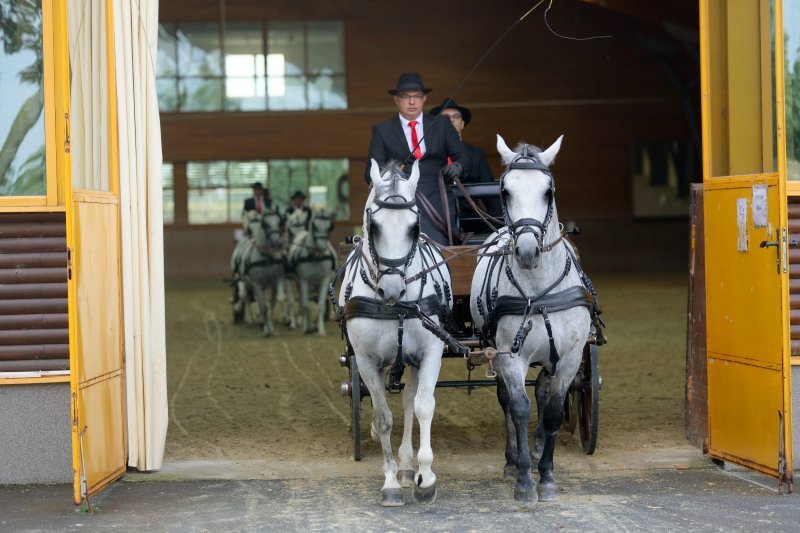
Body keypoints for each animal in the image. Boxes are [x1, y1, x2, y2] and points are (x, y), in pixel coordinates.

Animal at [231, 206, 288, 334]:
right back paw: (250, 318)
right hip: (243, 280)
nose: (276, 242)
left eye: (279, 222)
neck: (265, 257)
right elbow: (261, 304)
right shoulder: (257, 283)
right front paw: (266, 328)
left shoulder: (277, 280)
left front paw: (279, 320)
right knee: (245, 296)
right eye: (265, 224)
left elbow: (278, 299)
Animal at [334, 159, 454, 508]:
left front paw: (425, 477)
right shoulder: (366, 361)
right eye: (374, 226)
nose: (392, 288)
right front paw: (389, 483)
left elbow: (424, 406)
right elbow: (382, 418)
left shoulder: (430, 352)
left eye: (414, 227)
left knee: (410, 401)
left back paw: (407, 466)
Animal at [468, 135, 592, 510]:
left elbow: (551, 411)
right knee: (508, 401)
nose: (526, 251)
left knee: (543, 393)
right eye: (505, 190)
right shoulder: (511, 356)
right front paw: (524, 479)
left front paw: (547, 475)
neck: (539, 291)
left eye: (548, 191)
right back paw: (513, 461)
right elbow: (520, 409)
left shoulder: (569, 358)